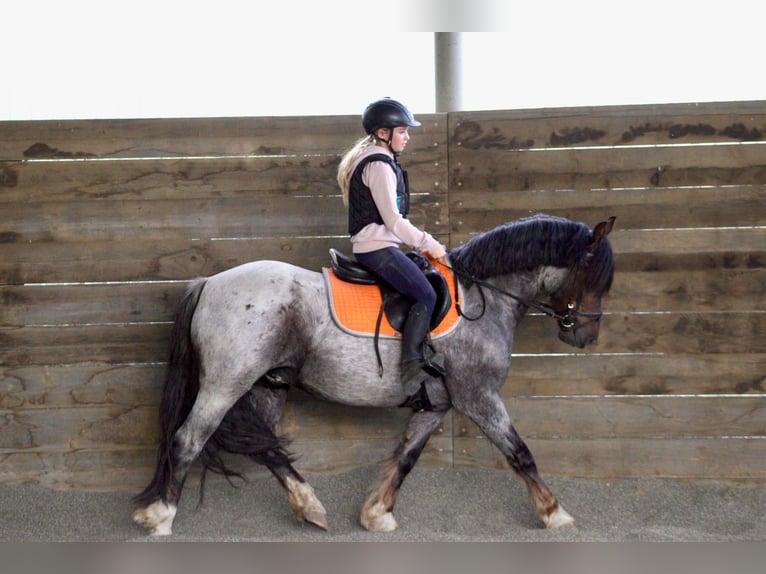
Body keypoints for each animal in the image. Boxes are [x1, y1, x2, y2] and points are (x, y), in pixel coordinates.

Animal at [132, 213, 616, 536]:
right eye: (593, 273)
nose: (587, 335)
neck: (481, 298)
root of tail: (209, 283)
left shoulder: (438, 404)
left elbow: (406, 455)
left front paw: (376, 513)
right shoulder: (479, 396)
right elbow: (520, 454)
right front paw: (555, 513)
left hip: (270, 385)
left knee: (267, 447)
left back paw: (309, 506)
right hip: (225, 383)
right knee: (189, 439)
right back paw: (161, 516)